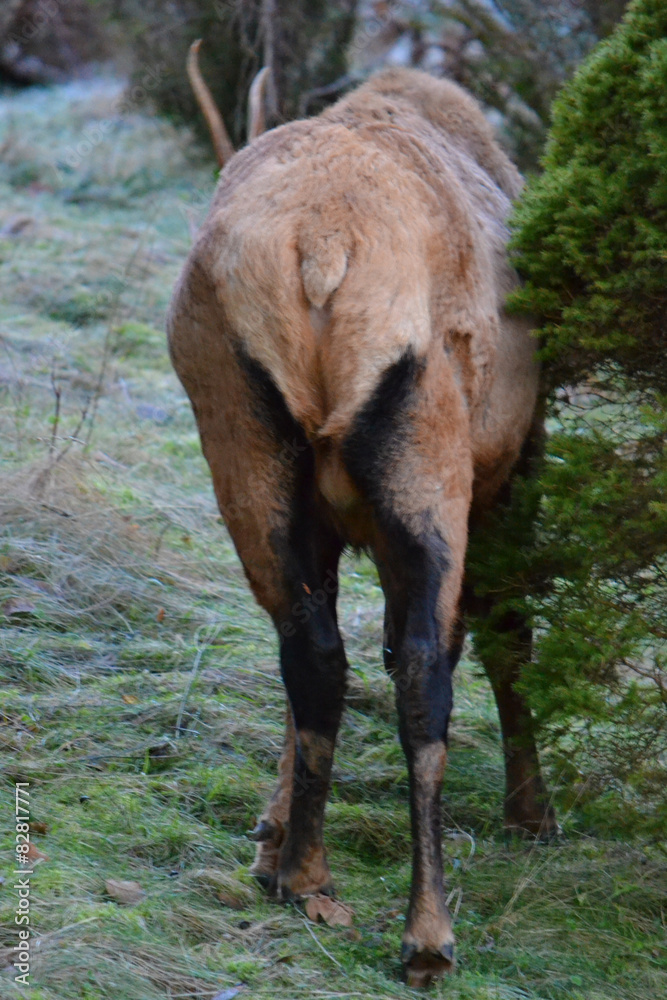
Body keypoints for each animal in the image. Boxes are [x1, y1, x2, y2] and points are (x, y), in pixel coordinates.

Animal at [167, 42, 558, 986]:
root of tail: (321, 248)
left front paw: (270, 831)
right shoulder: (515, 457)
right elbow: (502, 633)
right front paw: (531, 810)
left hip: (243, 445)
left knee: (310, 651)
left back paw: (303, 874)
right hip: (429, 458)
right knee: (421, 670)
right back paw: (427, 934)